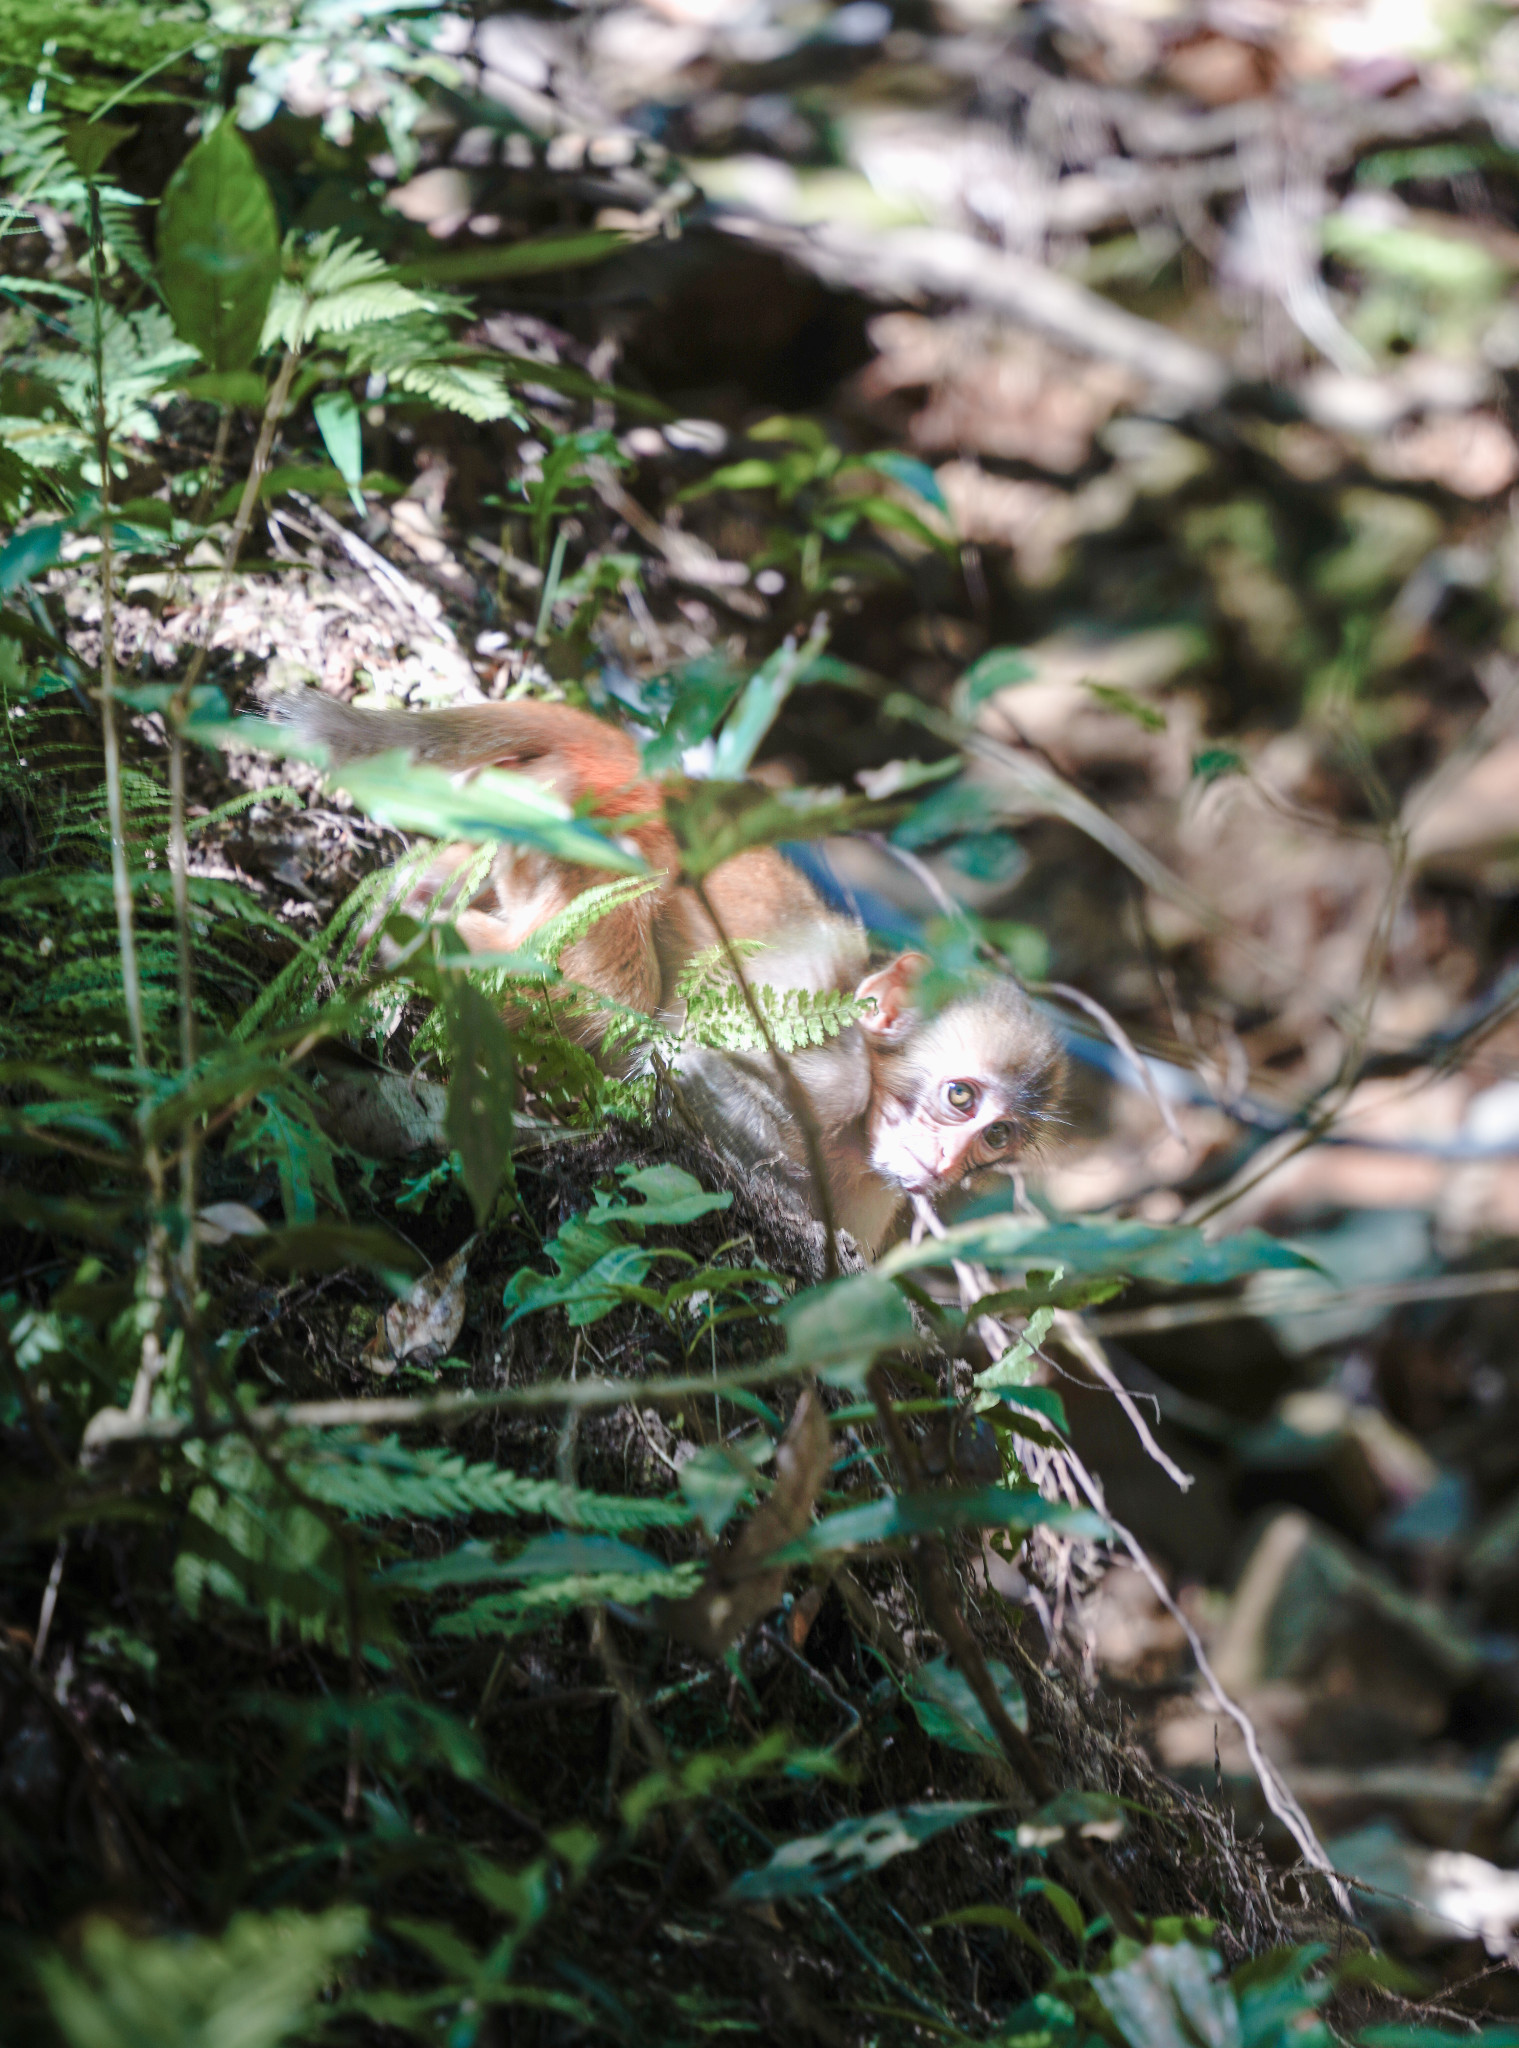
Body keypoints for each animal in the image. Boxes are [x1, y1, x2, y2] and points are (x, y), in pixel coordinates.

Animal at [280, 696, 1064, 1253]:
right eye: (960, 1098)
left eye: (997, 1138)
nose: (950, 1162)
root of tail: (653, 779)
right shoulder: (831, 1069)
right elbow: (680, 1065)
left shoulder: (879, 1195)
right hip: (595, 843)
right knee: (605, 1002)